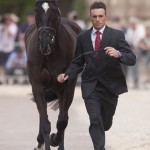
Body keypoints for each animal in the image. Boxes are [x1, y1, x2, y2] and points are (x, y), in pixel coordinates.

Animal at [24, 0, 81, 149]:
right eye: (36, 11)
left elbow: (62, 122)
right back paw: (40, 141)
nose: (45, 44)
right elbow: (45, 124)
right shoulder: (37, 86)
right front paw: (45, 140)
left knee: (63, 116)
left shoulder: (67, 87)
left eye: (54, 11)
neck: (49, 57)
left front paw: (54, 139)